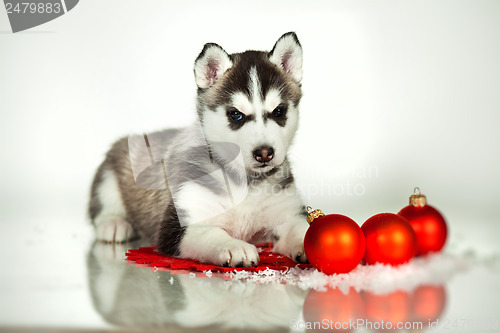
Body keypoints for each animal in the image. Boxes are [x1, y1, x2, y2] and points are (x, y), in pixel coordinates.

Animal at [90, 31, 308, 268]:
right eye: (236, 114)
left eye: (279, 111)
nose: (264, 153)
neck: (245, 182)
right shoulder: (179, 224)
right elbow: (211, 232)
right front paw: (234, 246)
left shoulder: (287, 214)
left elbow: (302, 231)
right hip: (110, 172)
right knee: (105, 206)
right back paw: (114, 224)